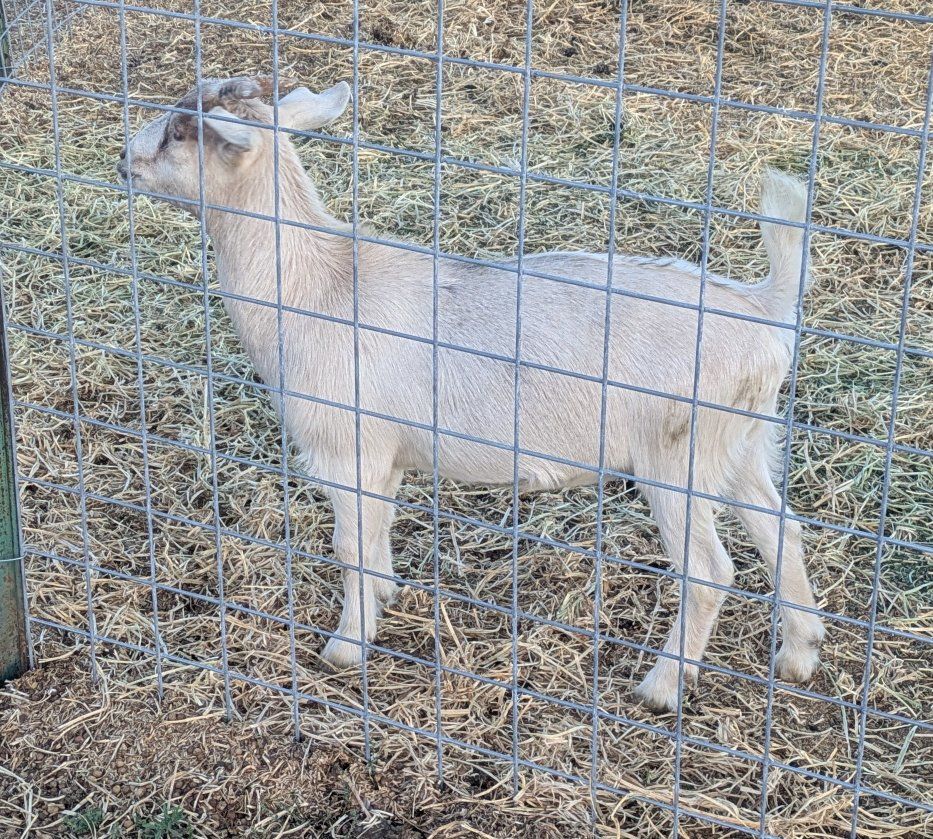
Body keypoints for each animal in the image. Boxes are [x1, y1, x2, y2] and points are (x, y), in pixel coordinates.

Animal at [118, 76, 825, 711]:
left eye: (181, 131)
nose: (124, 160)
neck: (319, 285)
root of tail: (764, 308)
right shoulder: (388, 455)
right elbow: (378, 532)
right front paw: (387, 596)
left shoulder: (345, 447)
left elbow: (349, 545)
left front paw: (345, 648)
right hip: (741, 439)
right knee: (780, 525)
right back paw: (799, 652)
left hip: (677, 454)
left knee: (709, 571)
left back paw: (662, 687)